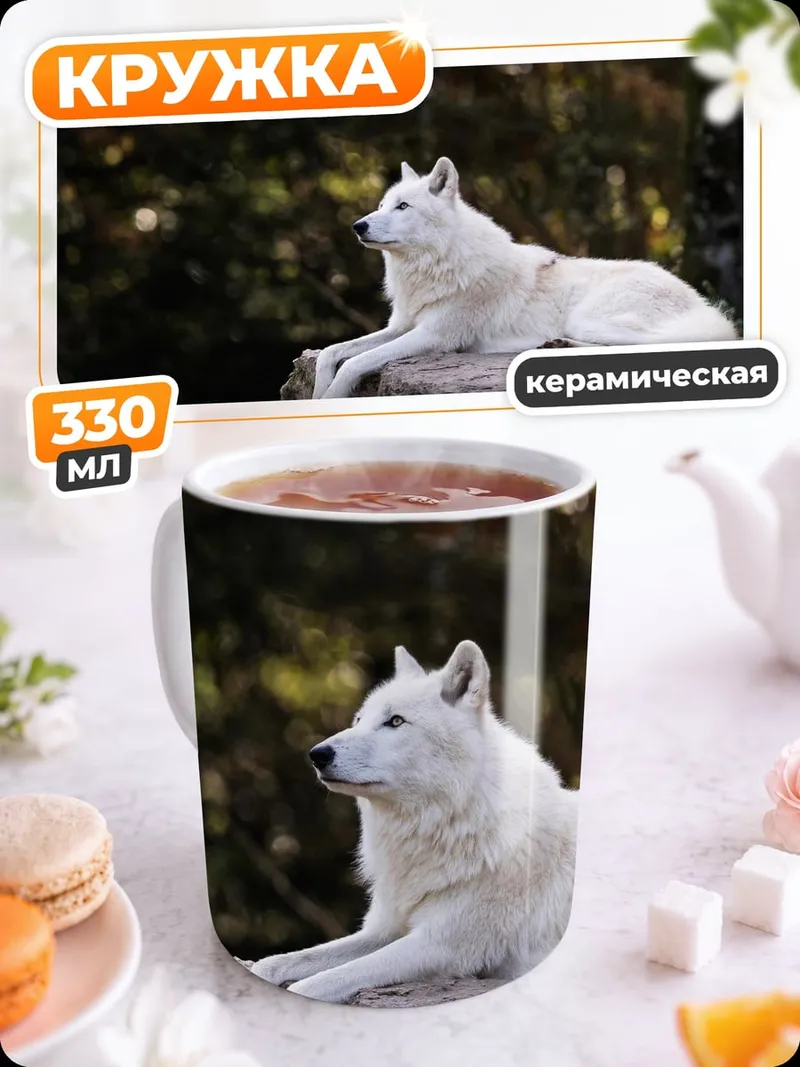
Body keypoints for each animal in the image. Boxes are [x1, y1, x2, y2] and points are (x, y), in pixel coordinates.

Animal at [244, 640, 578, 1004]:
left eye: (395, 721)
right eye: (359, 719)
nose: (317, 754)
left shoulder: (438, 946)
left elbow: (315, 984)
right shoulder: (384, 929)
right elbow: (281, 962)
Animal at [311, 157, 737, 399]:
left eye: (403, 207)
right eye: (382, 205)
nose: (358, 226)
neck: (434, 266)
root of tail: (704, 307)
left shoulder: (435, 336)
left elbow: (354, 362)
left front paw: (331, 400)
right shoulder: (402, 326)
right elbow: (332, 353)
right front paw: (315, 396)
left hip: (591, 318)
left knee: (646, 348)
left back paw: (560, 344)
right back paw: (557, 346)